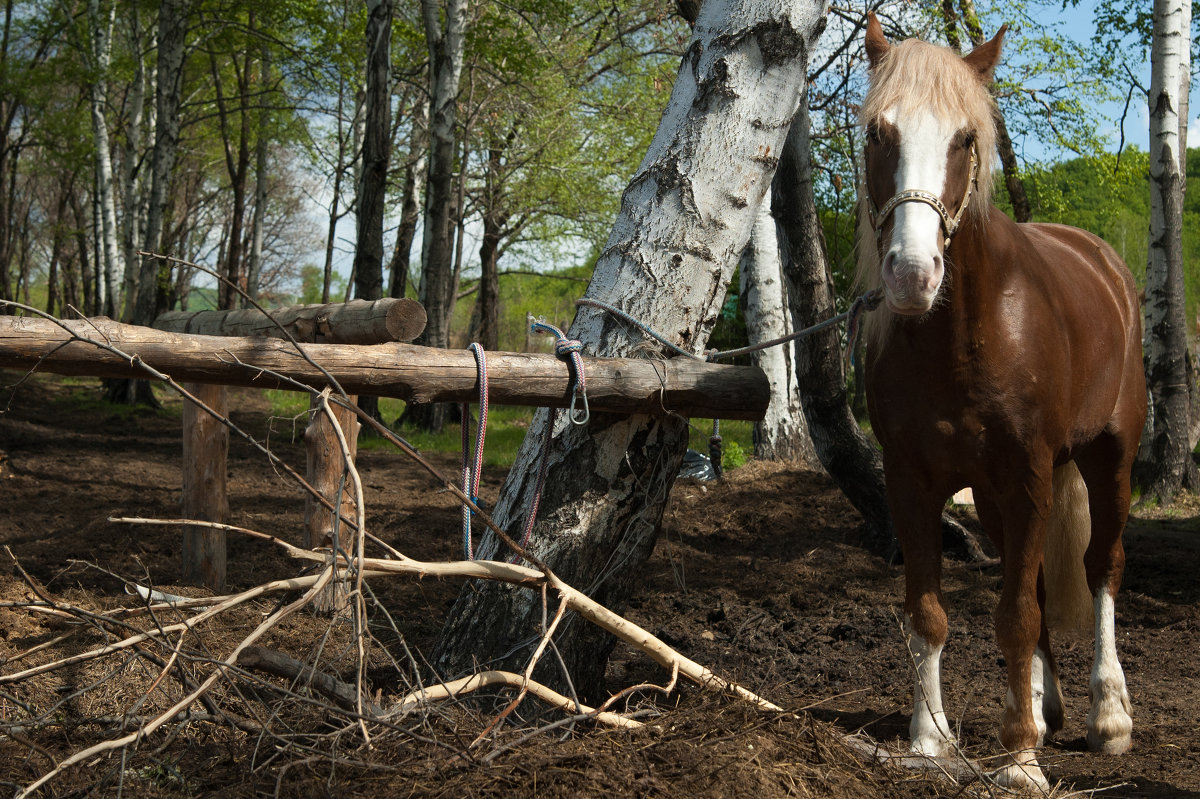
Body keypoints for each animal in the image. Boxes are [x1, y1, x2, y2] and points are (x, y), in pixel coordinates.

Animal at [859, 15, 1147, 787]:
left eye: (966, 138)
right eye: (878, 132)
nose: (912, 274)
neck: (965, 337)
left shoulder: (1029, 480)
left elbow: (1014, 616)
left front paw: (1019, 761)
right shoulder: (914, 484)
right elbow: (928, 612)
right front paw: (929, 741)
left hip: (1110, 459)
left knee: (1102, 568)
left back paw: (1108, 715)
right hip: (993, 496)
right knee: (1045, 586)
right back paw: (1045, 713)